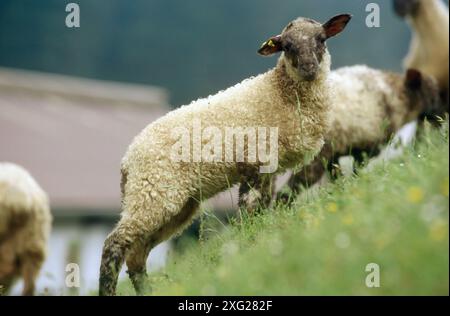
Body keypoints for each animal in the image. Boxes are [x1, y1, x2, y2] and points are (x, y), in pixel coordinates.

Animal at [100, 13, 354, 296]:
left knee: (136, 257)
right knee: (114, 244)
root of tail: (127, 160)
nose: (309, 68)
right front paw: (249, 246)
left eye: (321, 39)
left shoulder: (268, 170)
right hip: (152, 193)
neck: (281, 93)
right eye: (287, 46)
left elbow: (262, 210)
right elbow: (249, 212)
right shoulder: (254, 163)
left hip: (172, 204)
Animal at [276, 66, 442, 205]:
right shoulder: (367, 146)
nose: (441, 115)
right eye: (433, 93)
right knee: (295, 183)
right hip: (314, 154)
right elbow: (356, 170)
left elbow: (337, 173)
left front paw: (339, 191)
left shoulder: (339, 150)